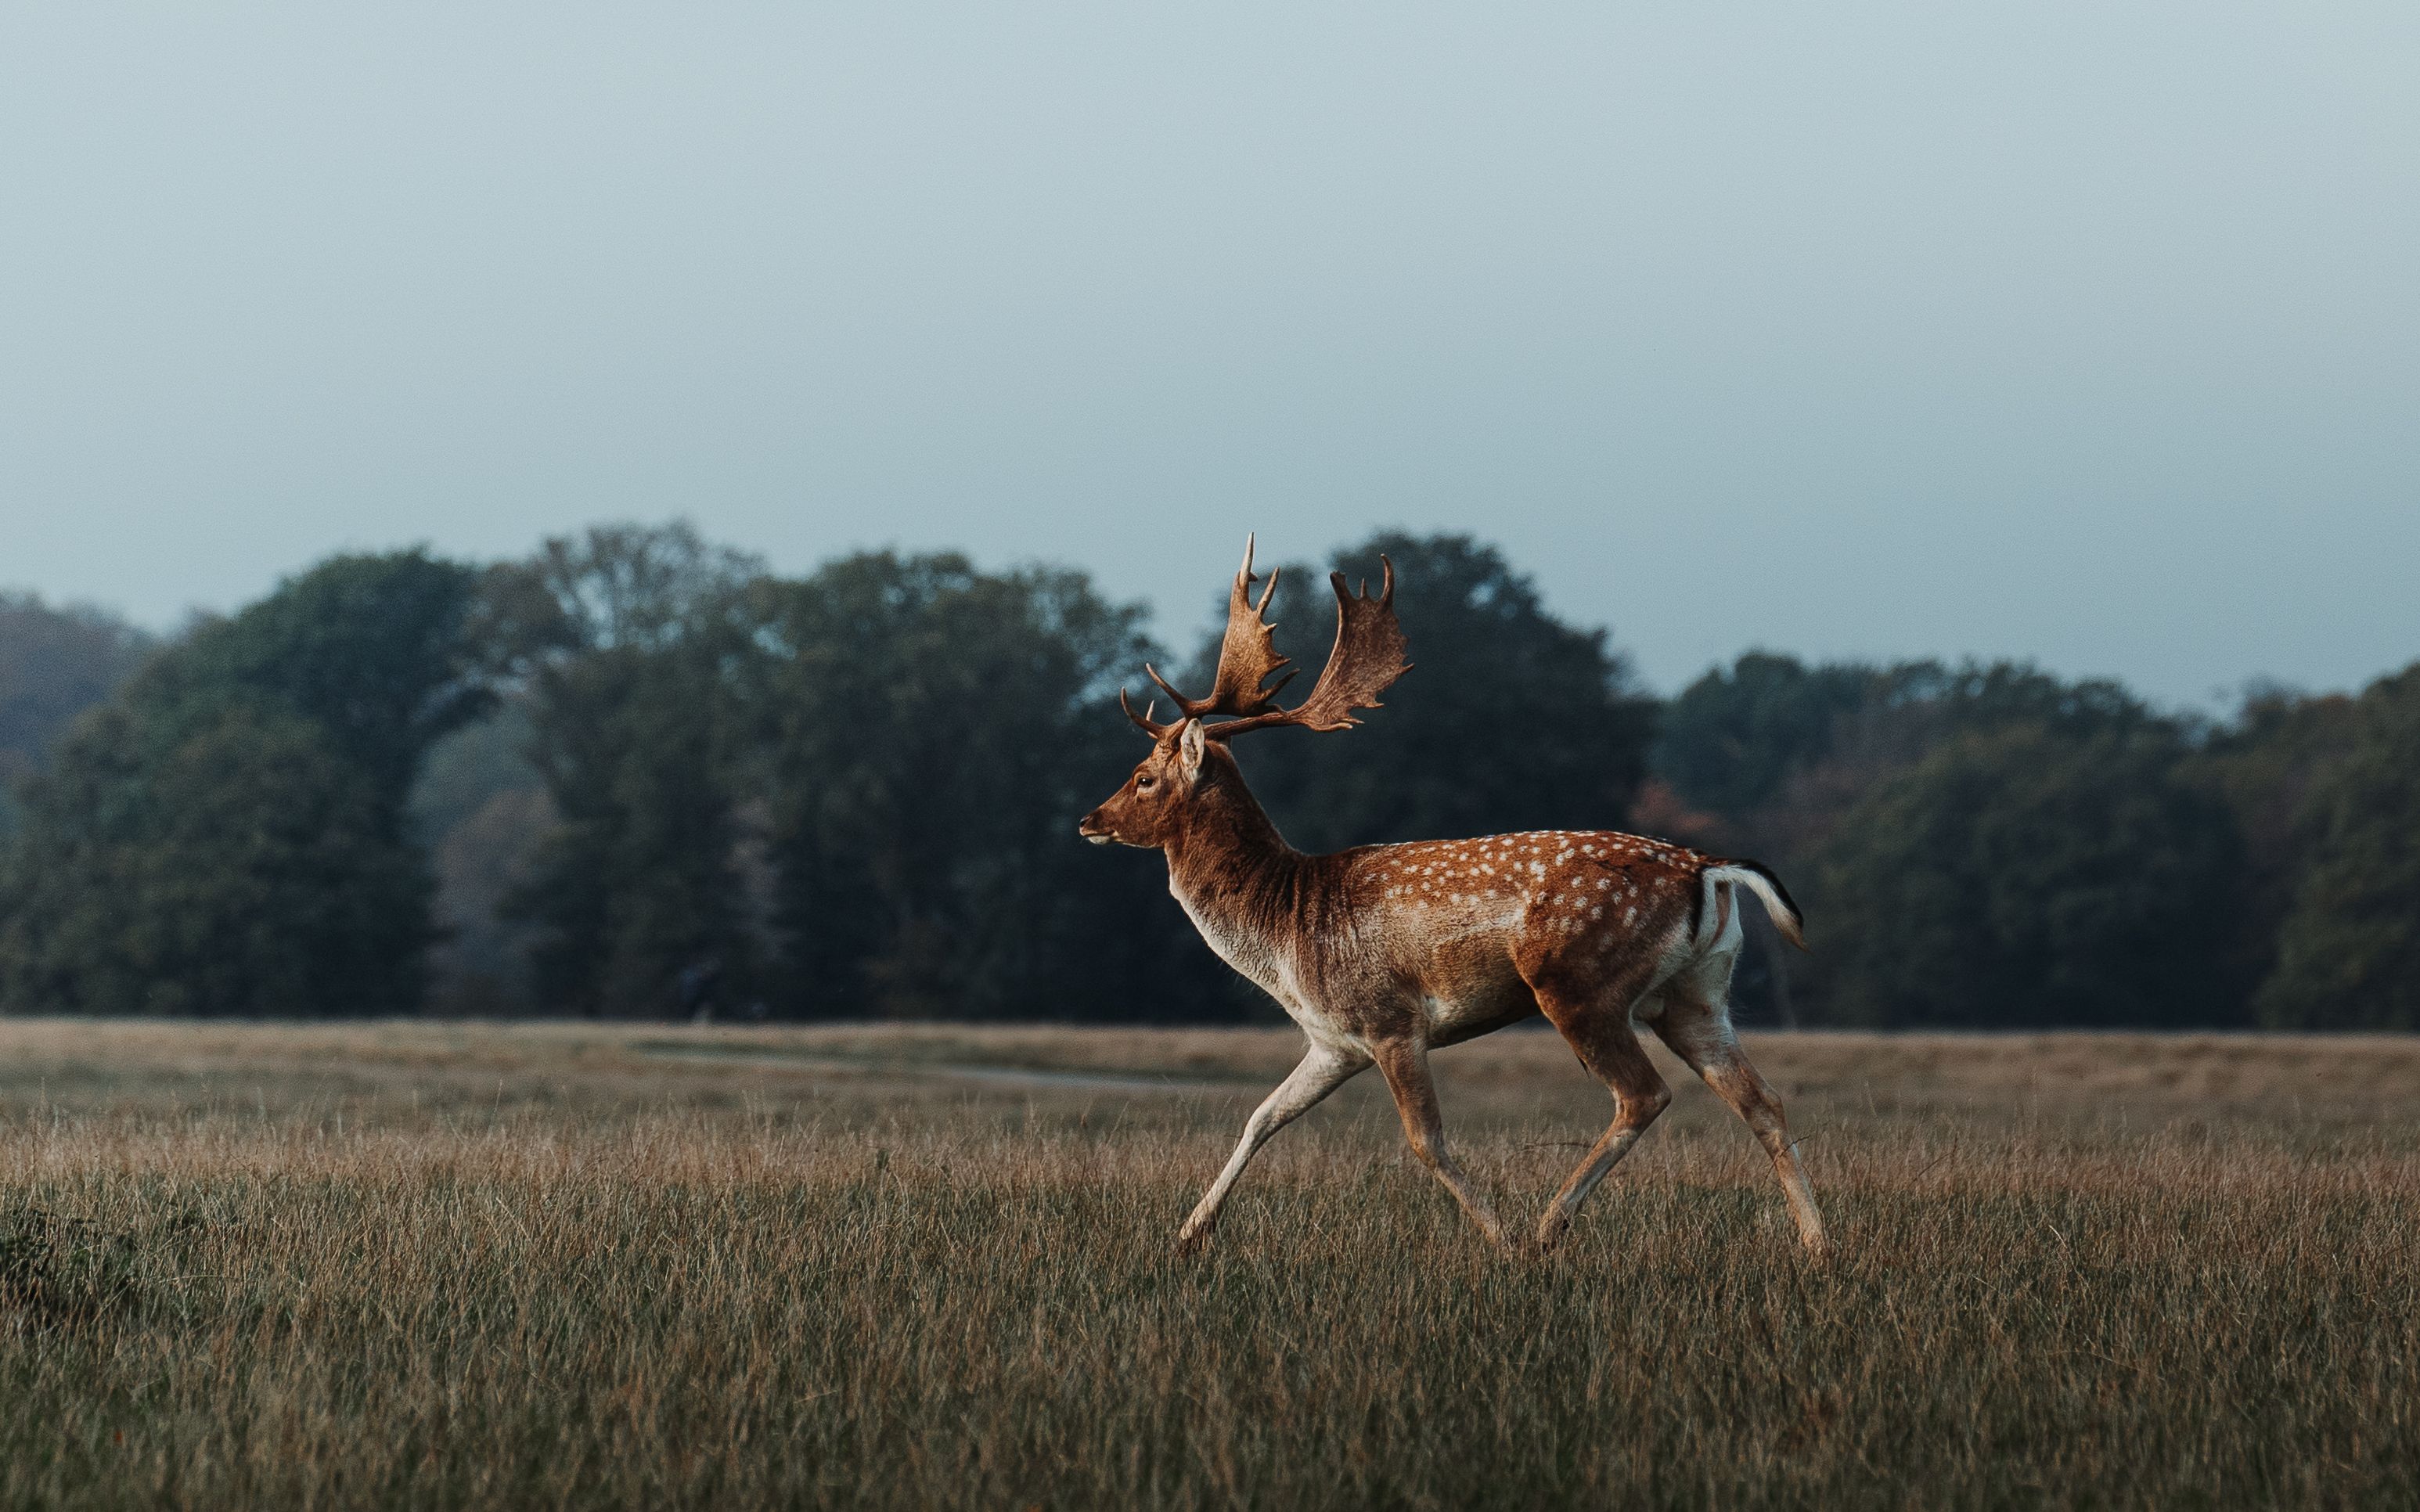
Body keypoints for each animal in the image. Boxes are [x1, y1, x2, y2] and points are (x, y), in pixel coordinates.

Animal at [1079, 539, 1829, 1258]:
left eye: (1143, 777)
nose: (1090, 819)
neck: (1286, 927)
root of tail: (1708, 869)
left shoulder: (1390, 1020)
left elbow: (1425, 1143)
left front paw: (1500, 1242)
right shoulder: (1332, 1042)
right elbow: (1261, 1117)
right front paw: (1187, 1235)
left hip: (1579, 982)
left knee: (1644, 1095)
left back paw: (1546, 1229)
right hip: (1696, 994)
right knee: (1762, 1101)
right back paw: (1817, 1243)